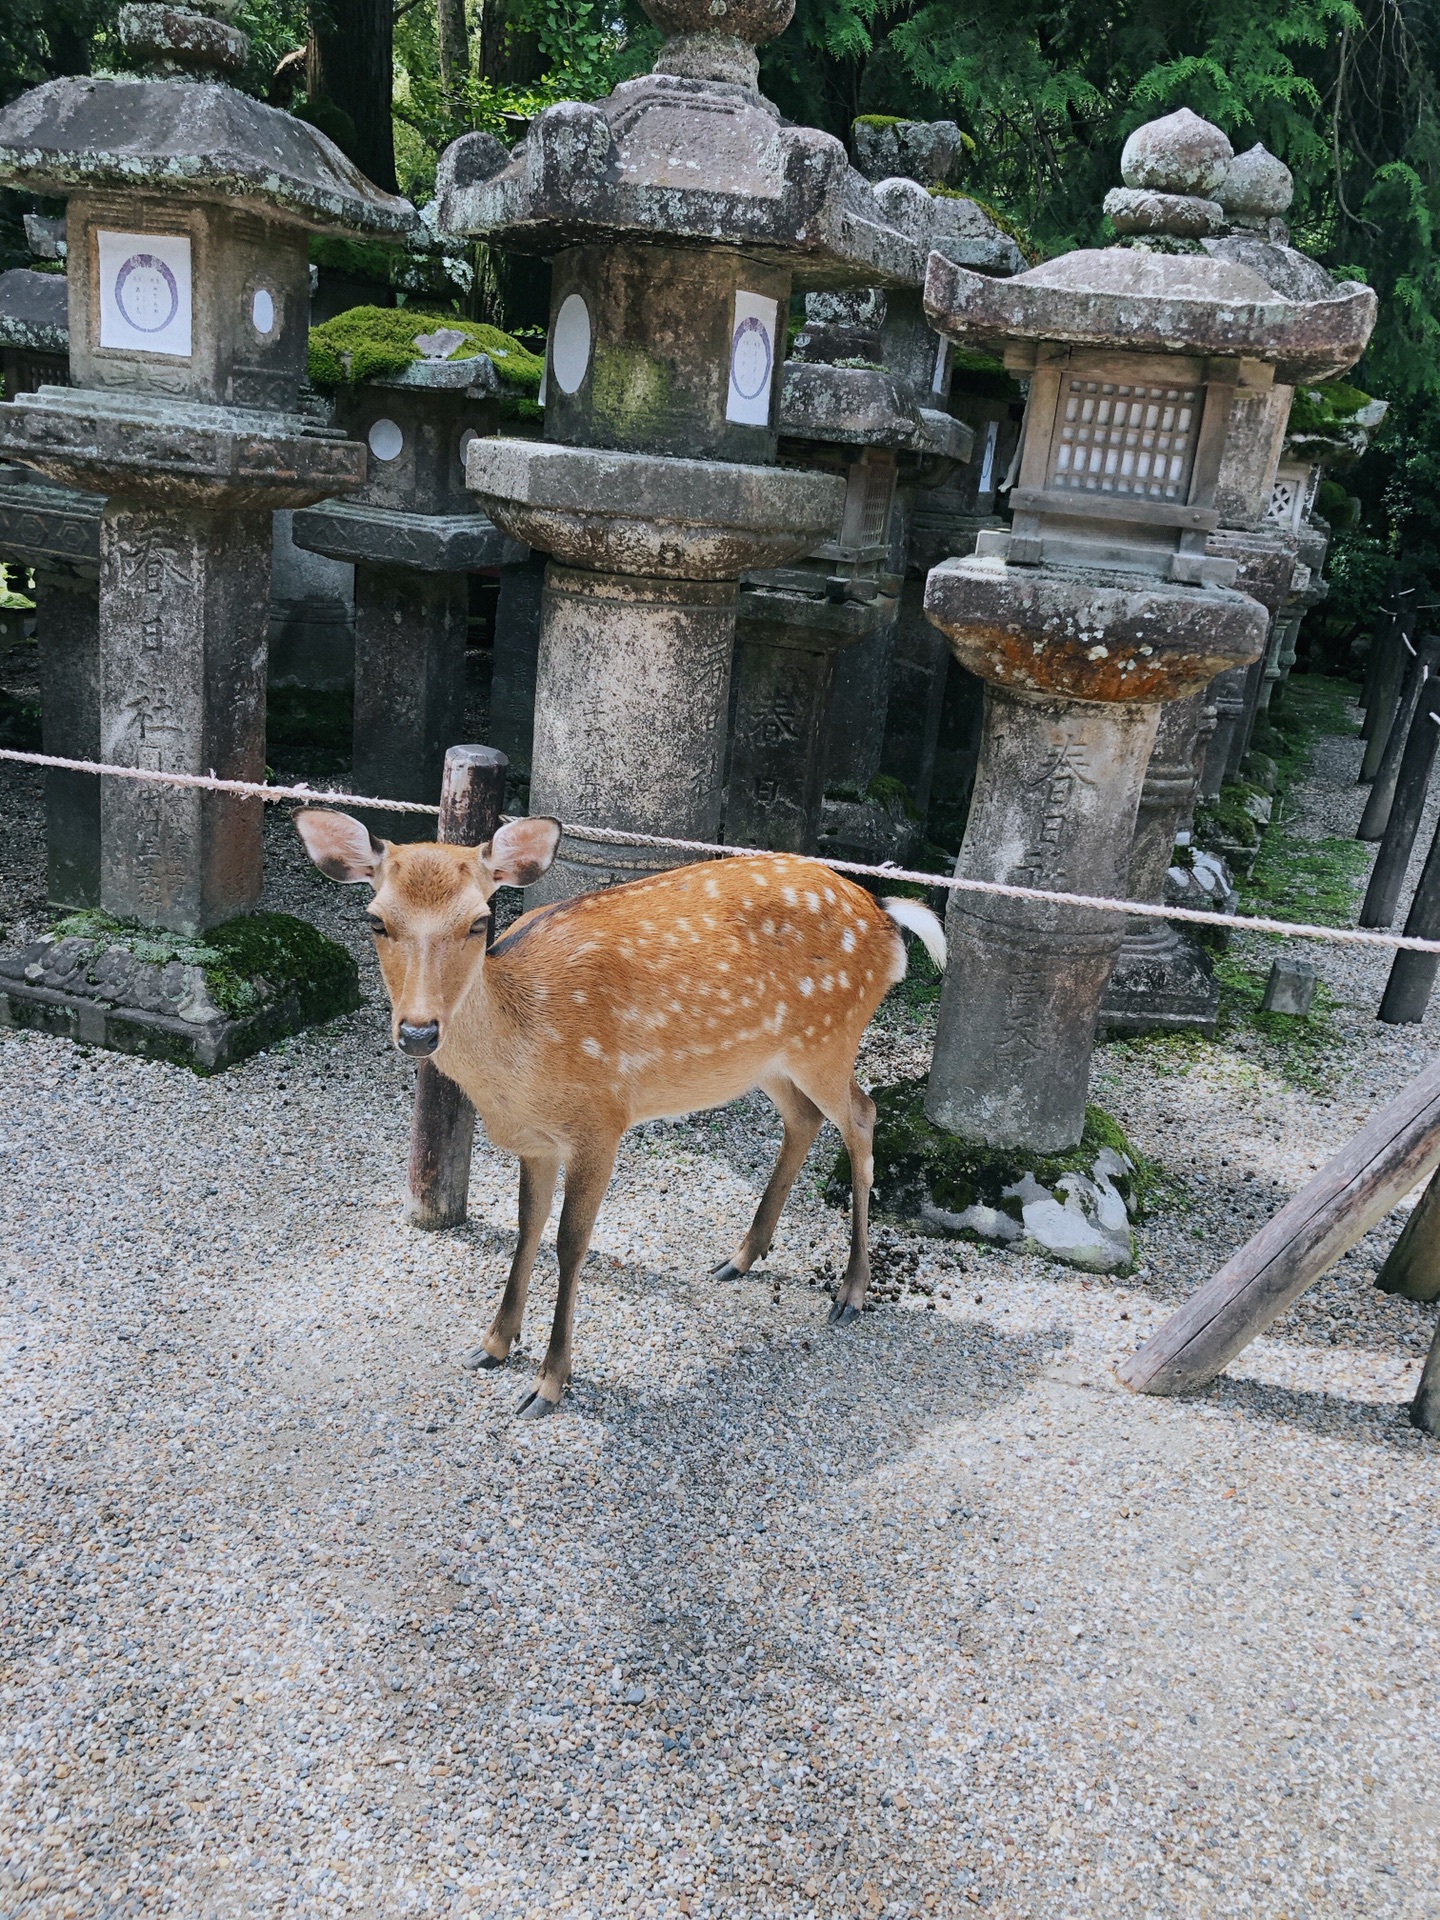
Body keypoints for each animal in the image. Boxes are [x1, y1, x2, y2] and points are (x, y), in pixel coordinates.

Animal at [293, 802, 948, 1420]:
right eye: (375, 920)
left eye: (479, 921)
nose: (419, 1031)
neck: (519, 1072)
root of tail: (886, 916)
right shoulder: (537, 1141)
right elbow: (526, 1229)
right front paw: (492, 1344)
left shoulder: (599, 1120)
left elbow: (569, 1242)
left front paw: (549, 1383)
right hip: (767, 1058)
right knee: (805, 1119)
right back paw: (740, 1257)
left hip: (831, 1037)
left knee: (863, 1115)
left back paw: (851, 1292)